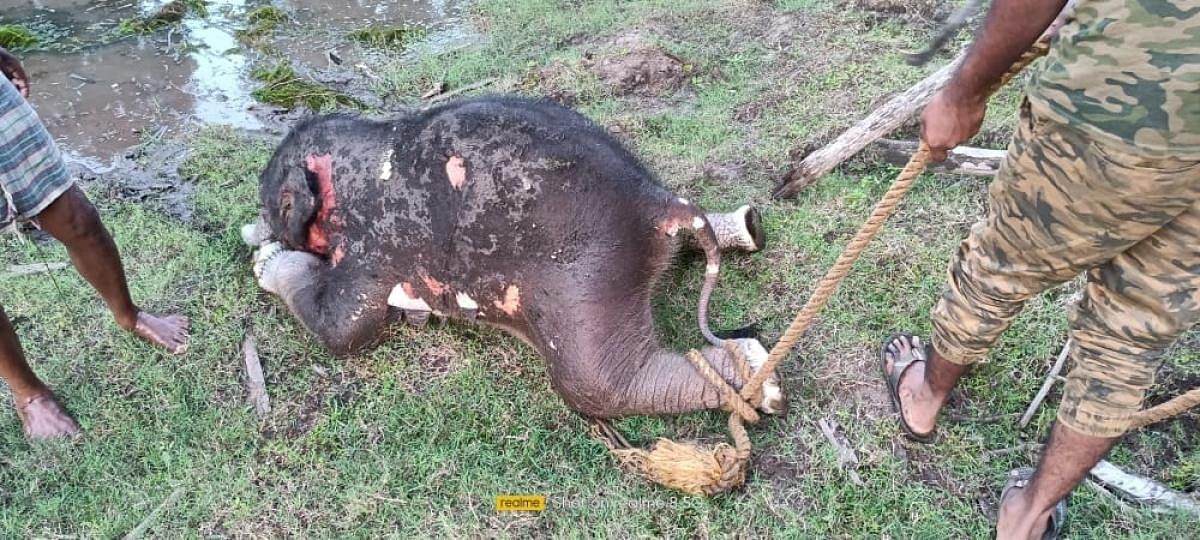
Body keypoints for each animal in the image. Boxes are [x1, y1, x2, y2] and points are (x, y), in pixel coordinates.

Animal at [244, 96, 787, 417]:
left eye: (269, 203)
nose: (249, 229)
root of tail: (658, 204)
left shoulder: (375, 246)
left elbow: (344, 330)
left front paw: (265, 262)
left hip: (589, 283)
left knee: (597, 384)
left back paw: (762, 377)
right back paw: (746, 226)